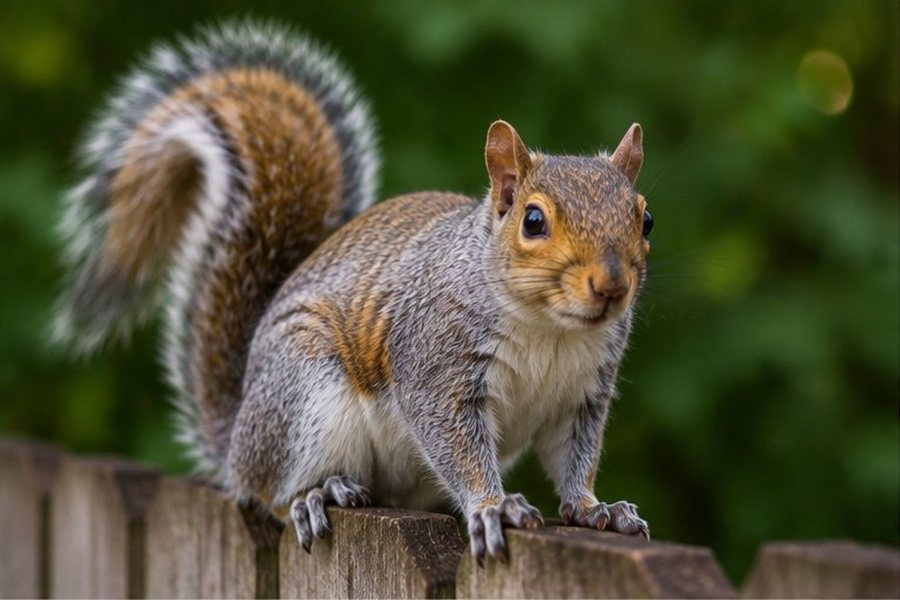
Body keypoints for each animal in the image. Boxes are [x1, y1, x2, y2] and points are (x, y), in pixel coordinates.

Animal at [55, 21, 653, 561]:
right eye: (533, 221)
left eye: (645, 219)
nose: (612, 286)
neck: (548, 329)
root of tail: (237, 439)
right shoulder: (434, 360)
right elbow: (453, 441)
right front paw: (492, 506)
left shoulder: (582, 395)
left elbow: (575, 458)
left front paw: (595, 508)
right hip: (302, 395)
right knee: (267, 492)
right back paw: (315, 495)